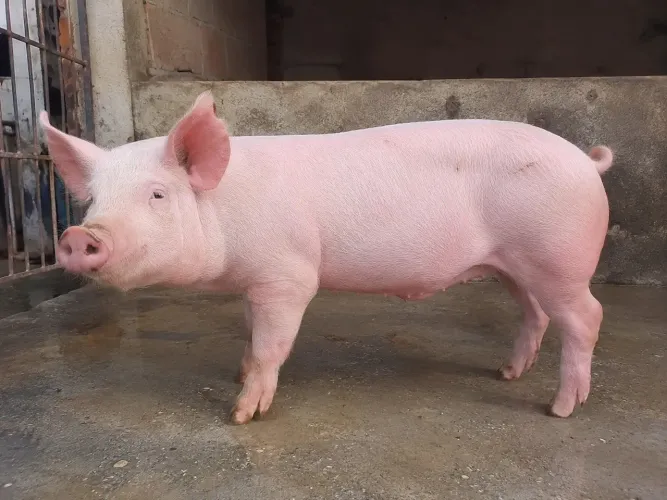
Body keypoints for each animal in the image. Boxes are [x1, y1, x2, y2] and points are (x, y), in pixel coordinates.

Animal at [39, 91, 613, 425]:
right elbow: (250, 332)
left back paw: (560, 409)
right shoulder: (254, 281)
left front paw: (241, 413)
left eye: (157, 194)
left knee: (587, 316)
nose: (79, 235)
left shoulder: (287, 275)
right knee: (534, 313)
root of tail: (587, 162)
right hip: (516, 265)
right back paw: (507, 373)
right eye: (93, 200)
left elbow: (271, 344)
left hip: (558, 257)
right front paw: (237, 374)